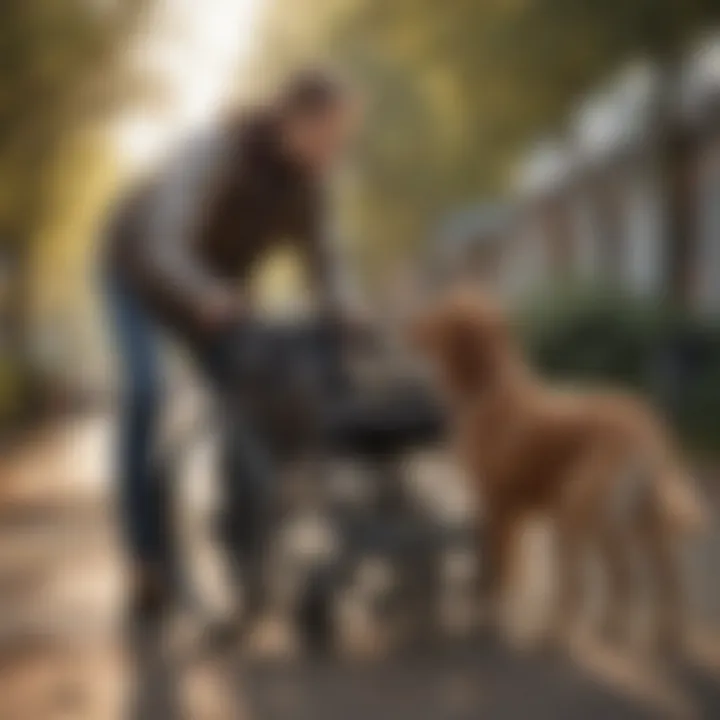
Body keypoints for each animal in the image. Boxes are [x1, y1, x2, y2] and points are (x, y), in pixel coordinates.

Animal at [414, 290, 704, 648]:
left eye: (442, 309)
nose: (408, 325)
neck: (490, 386)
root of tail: (648, 425)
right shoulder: (510, 509)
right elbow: (508, 565)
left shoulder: (498, 503)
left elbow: (497, 562)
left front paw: (490, 609)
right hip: (630, 522)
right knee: (653, 579)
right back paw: (649, 633)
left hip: (577, 512)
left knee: (585, 583)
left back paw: (556, 633)